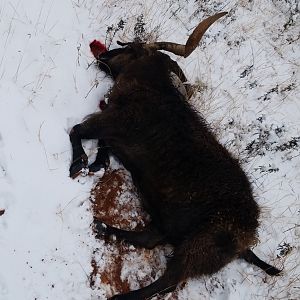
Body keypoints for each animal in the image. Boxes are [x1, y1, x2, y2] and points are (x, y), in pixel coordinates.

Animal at [69, 12, 282, 300]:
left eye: (129, 48)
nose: (102, 56)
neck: (150, 89)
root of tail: (246, 241)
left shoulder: (114, 122)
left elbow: (78, 129)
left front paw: (79, 163)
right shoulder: (115, 133)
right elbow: (102, 145)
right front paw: (97, 164)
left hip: (198, 246)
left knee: (169, 280)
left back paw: (122, 295)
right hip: (168, 221)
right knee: (148, 239)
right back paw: (104, 229)